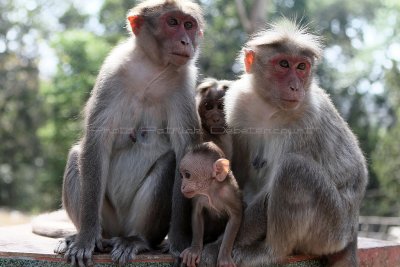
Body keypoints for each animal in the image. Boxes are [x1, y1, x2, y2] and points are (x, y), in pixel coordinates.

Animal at [52, 1, 205, 266]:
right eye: (172, 22)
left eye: (189, 25)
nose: (186, 41)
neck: (152, 68)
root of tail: (118, 232)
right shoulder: (111, 74)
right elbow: (96, 142)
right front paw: (85, 240)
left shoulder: (184, 85)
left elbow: (185, 153)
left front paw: (178, 243)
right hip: (109, 220)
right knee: (76, 156)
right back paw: (86, 237)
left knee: (168, 163)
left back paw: (136, 240)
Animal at [198, 18, 368, 267]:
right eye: (284, 64)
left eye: (302, 67)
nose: (295, 87)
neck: (269, 107)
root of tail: (352, 231)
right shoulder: (237, 106)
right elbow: (240, 174)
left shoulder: (305, 122)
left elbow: (270, 189)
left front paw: (216, 247)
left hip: (330, 230)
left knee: (293, 169)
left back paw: (269, 252)